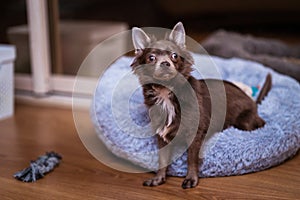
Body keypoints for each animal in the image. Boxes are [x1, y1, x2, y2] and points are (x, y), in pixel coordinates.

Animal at [130, 22, 270, 189]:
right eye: (151, 58)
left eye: (174, 56)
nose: (165, 63)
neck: (167, 93)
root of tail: (252, 101)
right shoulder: (161, 136)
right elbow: (162, 159)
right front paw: (158, 179)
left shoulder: (194, 134)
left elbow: (191, 158)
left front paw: (191, 179)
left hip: (245, 122)